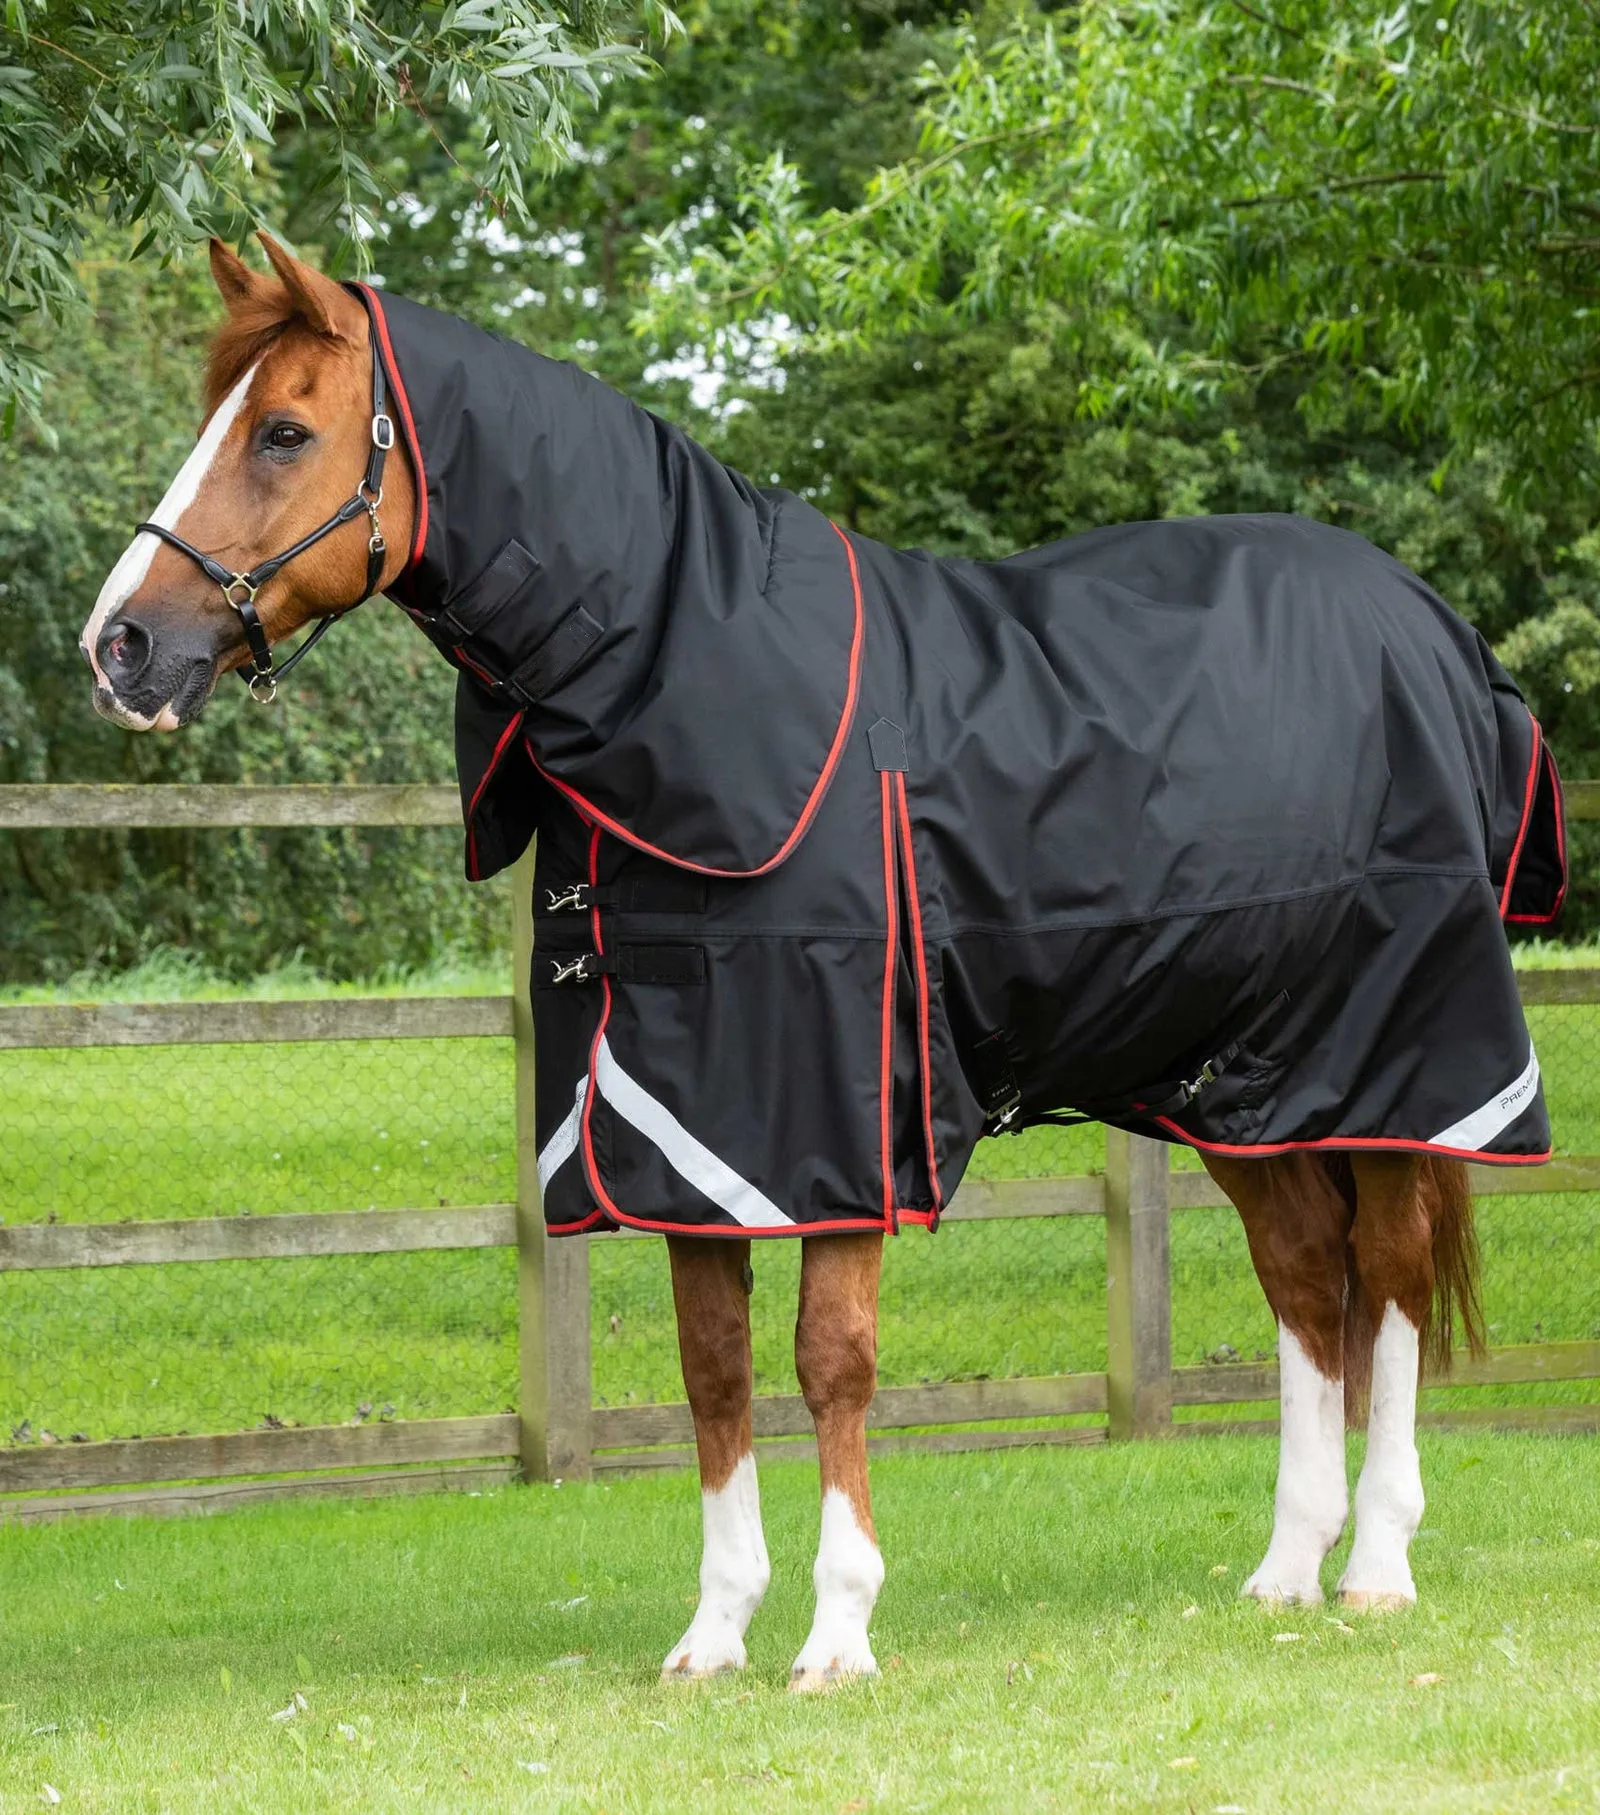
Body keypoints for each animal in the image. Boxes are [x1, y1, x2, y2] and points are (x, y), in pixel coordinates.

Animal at [82, 232, 1564, 1689]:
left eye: (282, 431)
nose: (122, 646)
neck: (691, 679)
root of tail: (1434, 629)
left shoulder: (833, 1124)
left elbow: (830, 1361)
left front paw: (838, 1633)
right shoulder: (677, 1139)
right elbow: (714, 1368)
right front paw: (713, 1634)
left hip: (1400, 1063)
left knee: (1389, 1282)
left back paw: (1376, 1567)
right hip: (1239, 1084)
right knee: (1307, 1276)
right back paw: (1285, 1570)